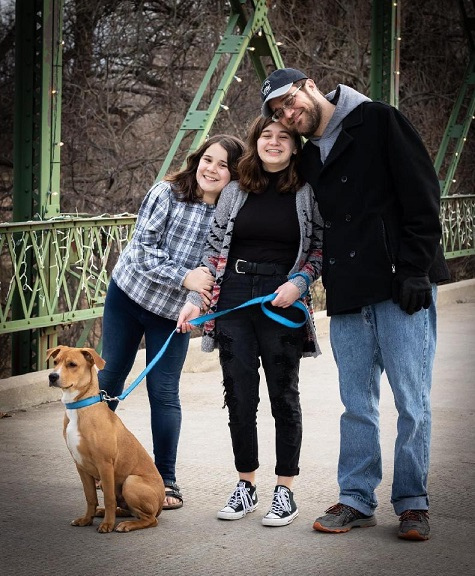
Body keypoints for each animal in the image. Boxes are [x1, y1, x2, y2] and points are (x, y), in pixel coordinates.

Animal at [47, 344, 165, 532]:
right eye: (56, 362)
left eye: (72, 364)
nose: (52, 376)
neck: (79, 407)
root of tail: (161, 504)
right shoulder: (80, 465)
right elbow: (90, 497)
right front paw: (86, 519)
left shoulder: (105, 464)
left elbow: (109, 498)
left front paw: (107, 524)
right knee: (128, 509)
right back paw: (104, 513)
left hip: (131, 482)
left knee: (150, 519)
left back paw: (126, 524)